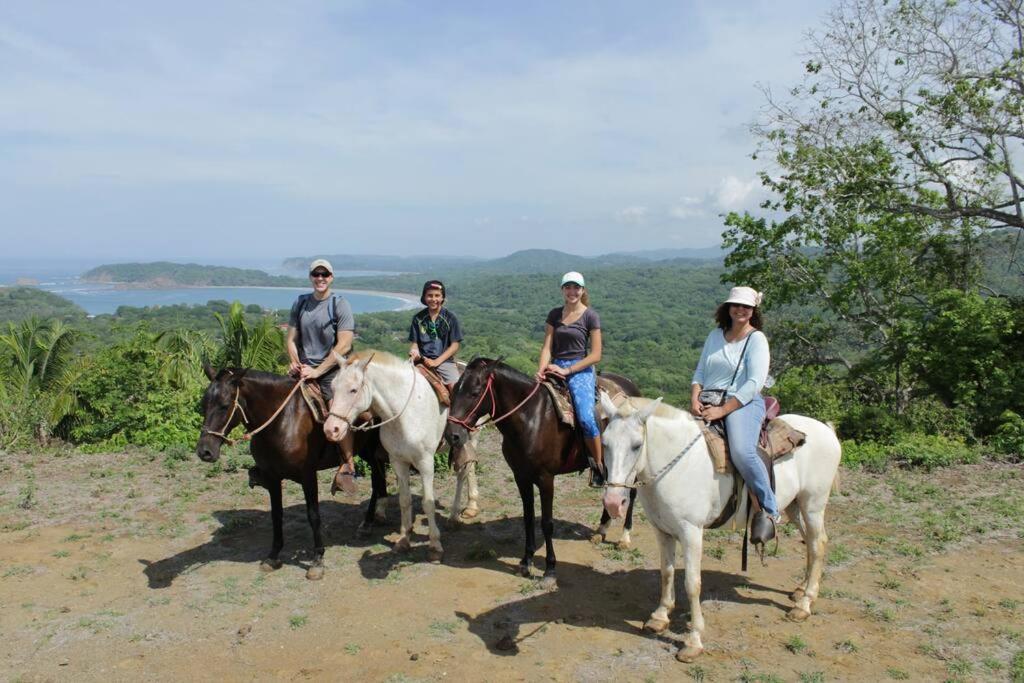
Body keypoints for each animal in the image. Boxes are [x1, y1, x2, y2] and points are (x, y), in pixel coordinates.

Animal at [195, 366, 387, 581]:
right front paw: (273, 555)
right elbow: (276, 515)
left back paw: (368, 522)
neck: (282, 421)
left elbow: (313, 515)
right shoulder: (272, 478)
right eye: (203, 404)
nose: (204, 451)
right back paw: (372, 519)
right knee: (379, 478)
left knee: (377, 479)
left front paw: (317, 560)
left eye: (224, 405)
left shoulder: (308, 475)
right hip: (367, 450)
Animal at [323, 350, 475, 565]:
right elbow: (404, 500)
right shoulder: (398, 462)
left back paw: (456, 516)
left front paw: (435, 547)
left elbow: (428, 503)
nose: (331, 429)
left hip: (470, 437)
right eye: (333, 388)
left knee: (465, 471)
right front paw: (403, 540)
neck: (404, 412)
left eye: (353, 390)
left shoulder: (425, 463)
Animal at [444, 358, 634, 589]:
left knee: (632, 494)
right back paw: (601, 531)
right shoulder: (521, 476)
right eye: (454, 390)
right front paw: (526, 562)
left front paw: (550, 569)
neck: (531, 419)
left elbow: (547, 523)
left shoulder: (545, 479)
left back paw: (624, 538)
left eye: (475, 392)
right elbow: (528, 519)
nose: (452, 435)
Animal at [593, 393, 839, 663]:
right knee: (812, 545)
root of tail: (826, 430)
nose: (613, 502)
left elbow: (692, 584)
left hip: (813, 505)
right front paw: (660, 617)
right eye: (605, 443)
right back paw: (801, 591)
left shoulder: (691, 533)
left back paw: (804, 605)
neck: (678, 465)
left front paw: (694, 640)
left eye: (637, 445)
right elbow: (666, 572)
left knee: (818, 544)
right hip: (795, 507)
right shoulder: (662, 531)